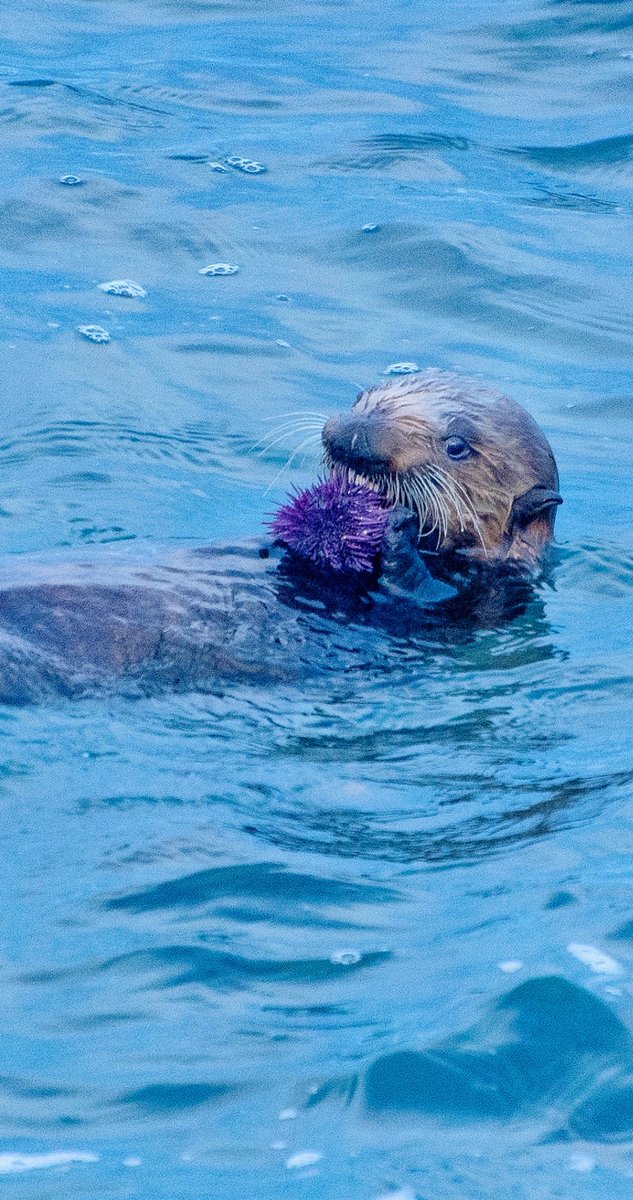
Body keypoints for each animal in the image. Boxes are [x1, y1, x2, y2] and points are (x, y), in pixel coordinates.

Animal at [0, 372, 561, 704]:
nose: (352, 432)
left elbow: (424, 596)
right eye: (364, 396)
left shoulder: (485, 598)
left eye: (457, 445)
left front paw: (397, 531)